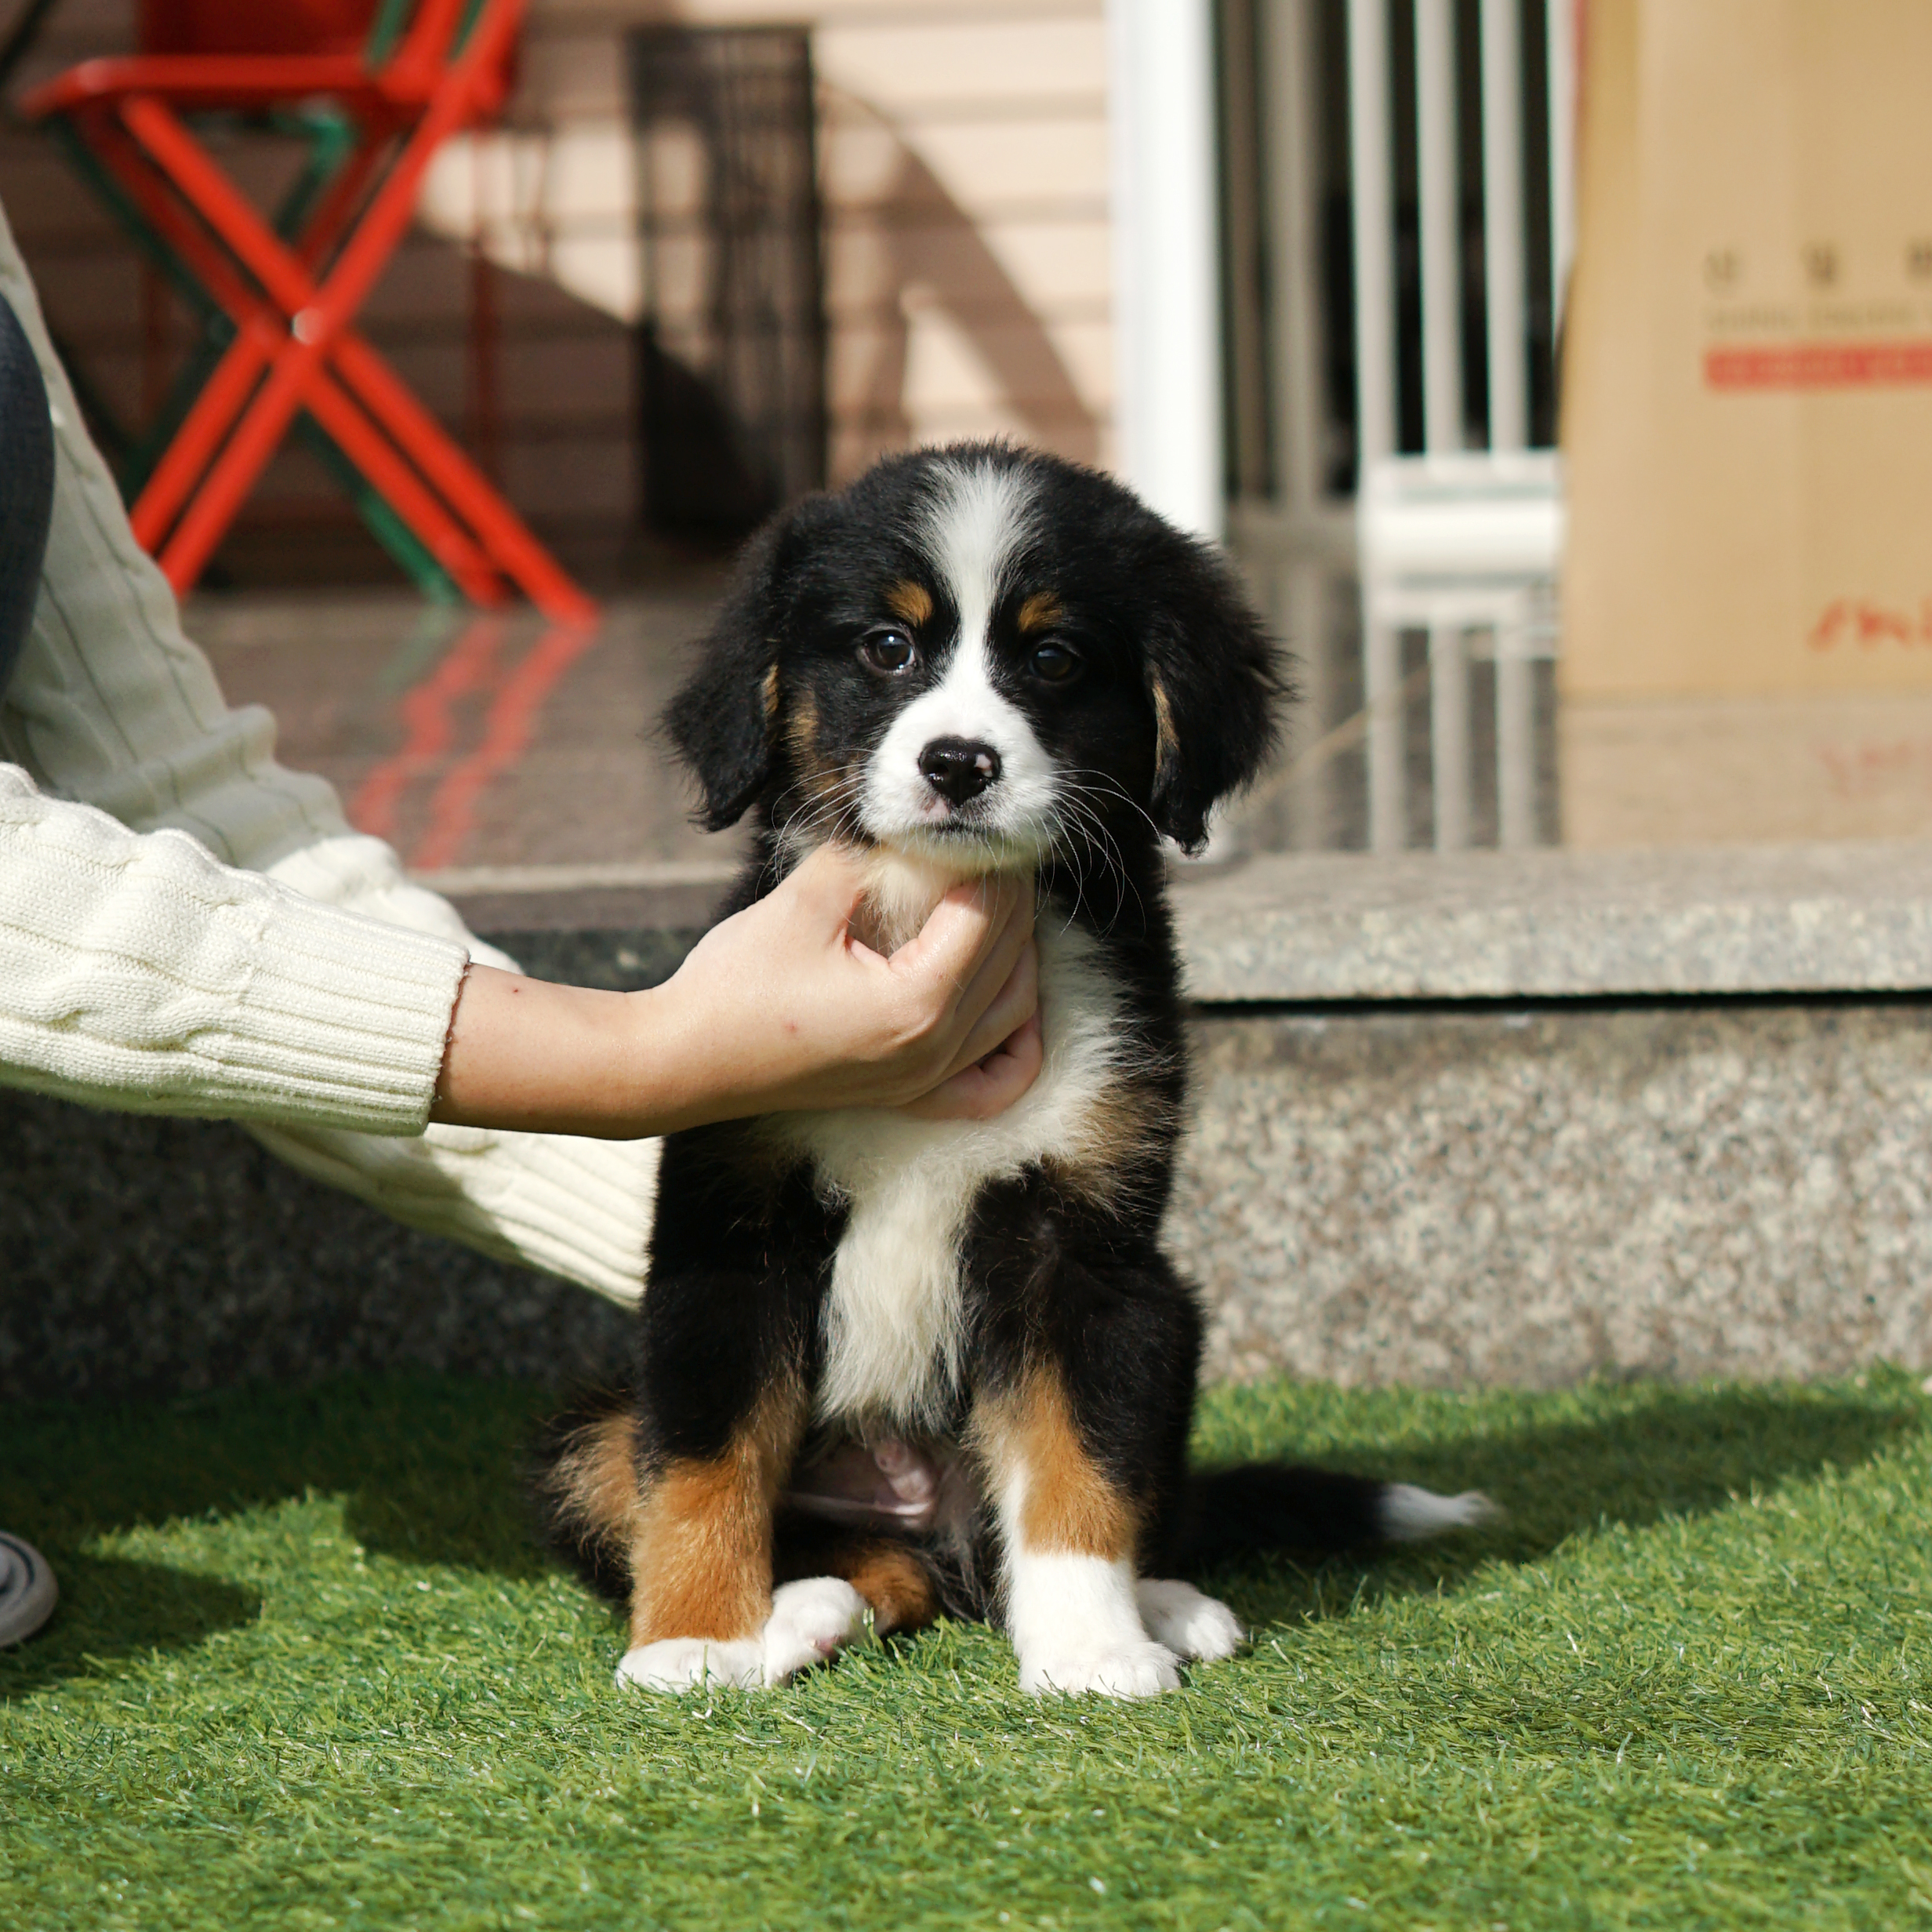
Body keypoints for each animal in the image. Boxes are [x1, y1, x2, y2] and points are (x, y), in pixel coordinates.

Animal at [541, 443, 1490, 1699]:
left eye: (1052, 658)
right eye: (886, 648)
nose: (959, 763)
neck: (932, 905)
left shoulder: (1080, 1245)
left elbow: (1079, 1465)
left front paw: (1091, 1650)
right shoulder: (729, 1233)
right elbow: (704, 1463)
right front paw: (692, 1641)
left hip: (1171, 1321)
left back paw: (1163, 1603)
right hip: (589, 1424)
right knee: (821, 1546)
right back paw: (799, 1615)